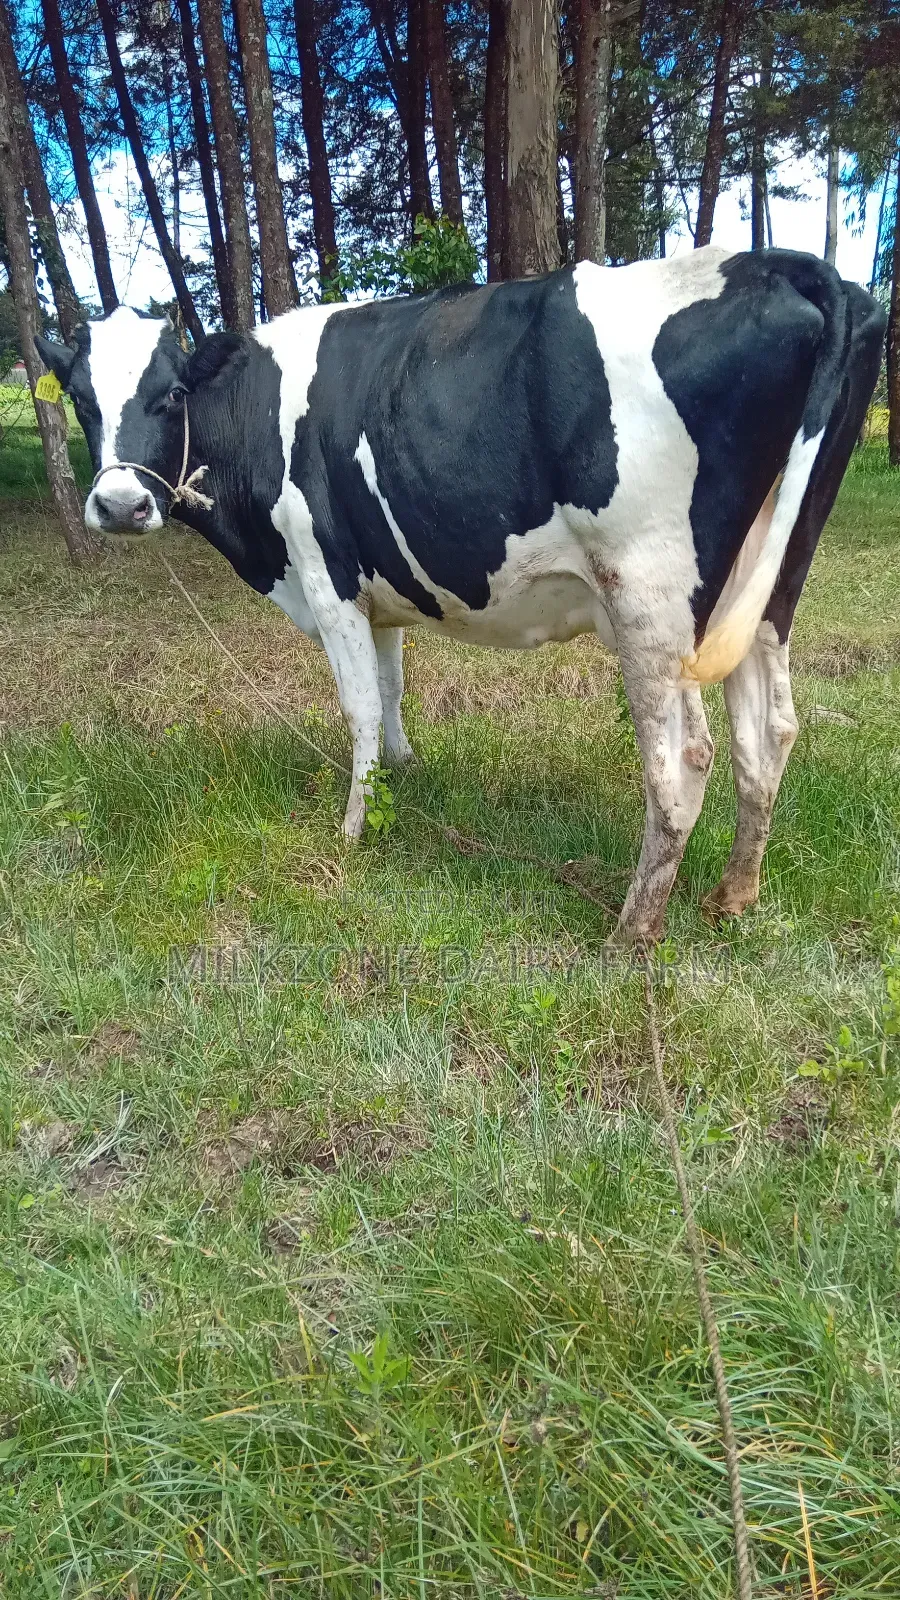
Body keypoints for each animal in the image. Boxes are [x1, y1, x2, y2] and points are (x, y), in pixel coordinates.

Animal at [35, 247, 885, 944]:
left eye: (171, 394)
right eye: (80, 398)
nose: (118, 504)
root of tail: (781, 264)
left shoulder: (327, 577)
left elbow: (358, 707)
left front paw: (352, 830)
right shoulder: (380, 589)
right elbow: (392, 686)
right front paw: (404, 776)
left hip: (649, 588)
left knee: (684, 755)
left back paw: (632, 930)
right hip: (768, 582)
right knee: (767, 733)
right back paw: (733, 897)